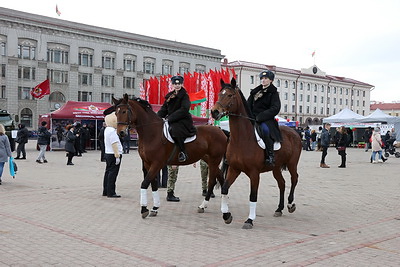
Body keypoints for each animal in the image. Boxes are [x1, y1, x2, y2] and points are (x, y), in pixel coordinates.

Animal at [211, 78, 302, 229]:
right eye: (219, 94)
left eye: (230, 95)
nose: (214, 112)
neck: (241, 138)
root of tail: (294, 132)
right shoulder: (234, 169)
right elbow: (224, 189)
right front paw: (227, 215)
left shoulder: (254, 173)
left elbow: (253, 196)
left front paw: (249, 220)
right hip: (276, 167)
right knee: (282, 183)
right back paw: (279, 208)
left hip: (292, 164)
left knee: (294, 179)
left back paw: (290, 204)